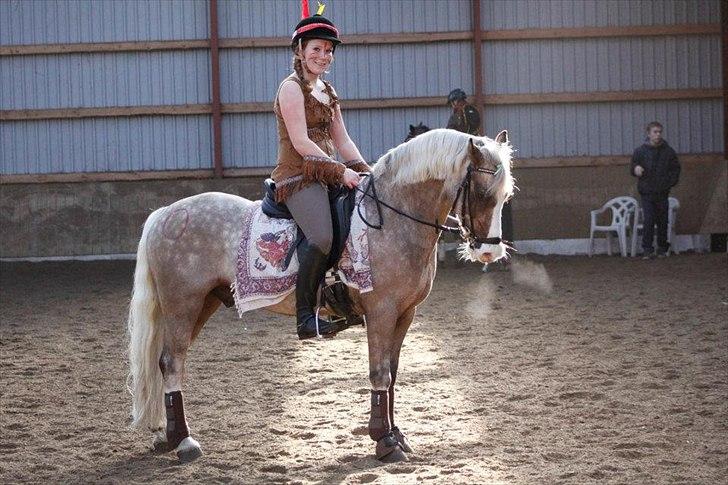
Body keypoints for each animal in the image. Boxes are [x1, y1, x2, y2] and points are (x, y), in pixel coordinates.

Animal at [127, 128, 514, 463]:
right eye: (482, 194)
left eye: (505, 197)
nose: (489, 252)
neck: (393, 218)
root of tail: (166, 214)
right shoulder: (381, 311)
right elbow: (380, 374)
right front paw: (384, 442)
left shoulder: (405, 314)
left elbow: (393, 373)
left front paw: (397, 434)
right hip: (183, 304)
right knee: (171, 362)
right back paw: (184, 442)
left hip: (200, 304)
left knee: (165, 362)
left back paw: (165, 436)